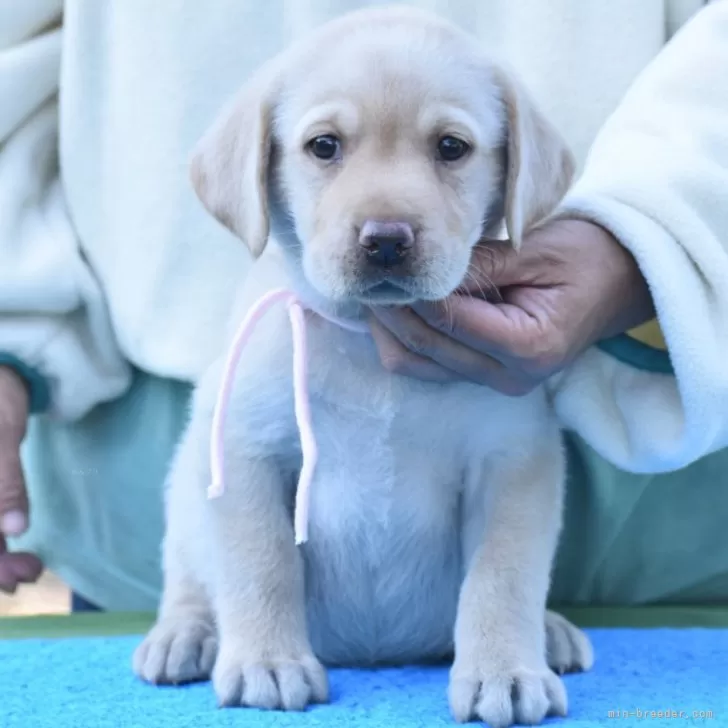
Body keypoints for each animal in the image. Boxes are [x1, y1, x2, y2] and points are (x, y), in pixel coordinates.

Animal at [134, 7, 596, 728]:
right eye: (324, 147)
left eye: (451, 148)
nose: (385, 239)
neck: (366, 344)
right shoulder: (244, 449)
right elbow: (260, 563)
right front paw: (269, 661)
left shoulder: (513, 462)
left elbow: (503, 575)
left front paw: (505, 671)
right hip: (186, 484)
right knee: (188, 575)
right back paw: (186, 635)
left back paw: (549, 633)